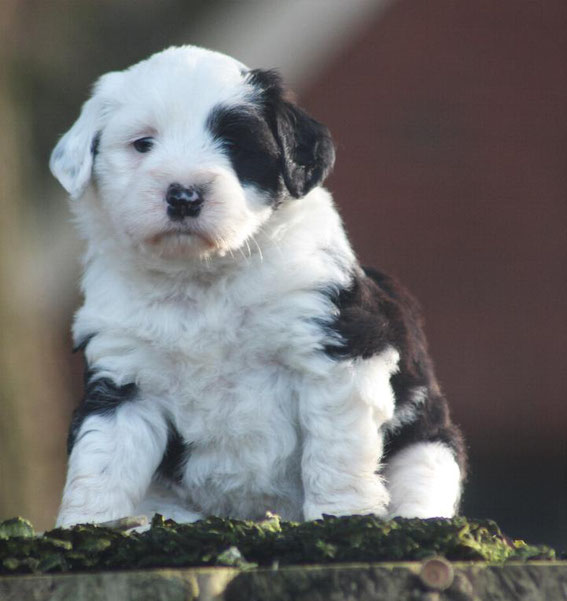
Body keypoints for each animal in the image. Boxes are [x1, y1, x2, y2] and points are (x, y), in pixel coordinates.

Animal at [48, 45, 466, 524]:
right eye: (143, 144)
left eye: (235, 146)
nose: (184, 196)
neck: (204, 276)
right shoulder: (124, 378)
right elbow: (102, 462)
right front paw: (89, 525)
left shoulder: (336, 349)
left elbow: (336, 452)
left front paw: (342, 515)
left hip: (429, 448)